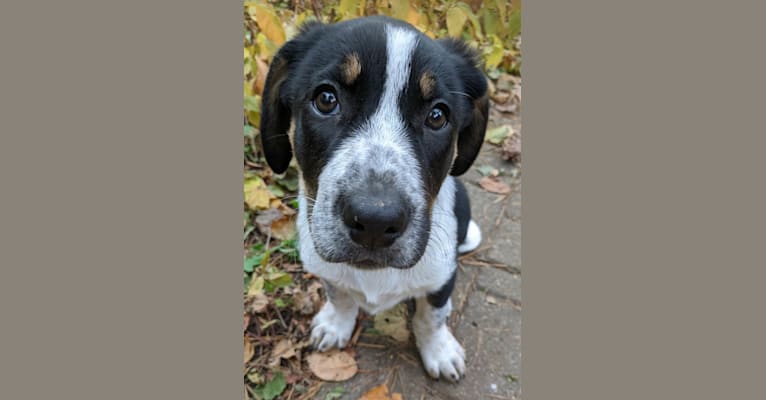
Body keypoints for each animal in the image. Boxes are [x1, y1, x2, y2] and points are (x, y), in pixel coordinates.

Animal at [260, 16, 488, 382]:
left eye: (438, 116)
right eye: (326, 99)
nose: (375, 222)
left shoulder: (441, 276)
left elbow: (432, 315)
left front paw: (439, 350)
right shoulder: (325, 266)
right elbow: (339, 295)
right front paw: (336, 324)